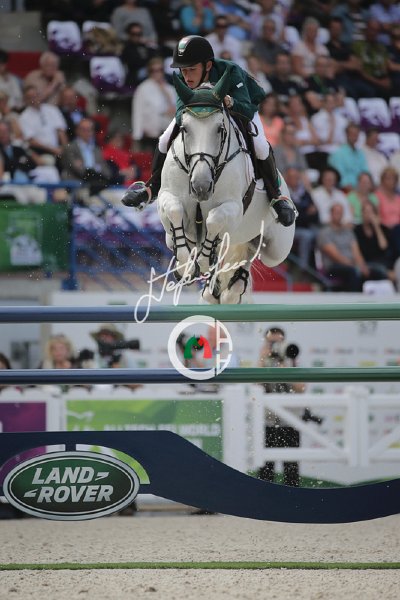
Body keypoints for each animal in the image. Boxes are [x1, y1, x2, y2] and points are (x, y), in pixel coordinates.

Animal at [157, 69, 296, 304]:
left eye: (220, 129)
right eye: (184, 129)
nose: (201, 187)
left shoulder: (233, 208)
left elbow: (214, 219)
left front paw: (203, 263)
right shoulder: (167, 197)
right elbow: (175, 211)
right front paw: (185, 266)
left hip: (275, 250)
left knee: (253, 251)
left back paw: (232, 286)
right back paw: (215, 288)